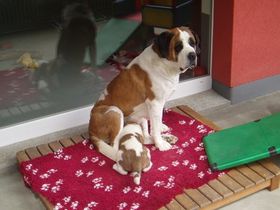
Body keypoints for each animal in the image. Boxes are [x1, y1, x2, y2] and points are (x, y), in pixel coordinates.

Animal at [88, 27, 199, 160]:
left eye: (192, 43)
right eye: (178, 47)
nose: (192, 55)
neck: (164, 63)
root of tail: (90, 130)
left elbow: (157, 122)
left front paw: (161, 129)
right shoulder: (155, 103)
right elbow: (155, 128)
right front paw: (160, 144)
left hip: (139, 119)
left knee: (144, 137)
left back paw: (167, 138)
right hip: (115, 111)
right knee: (115, 145)